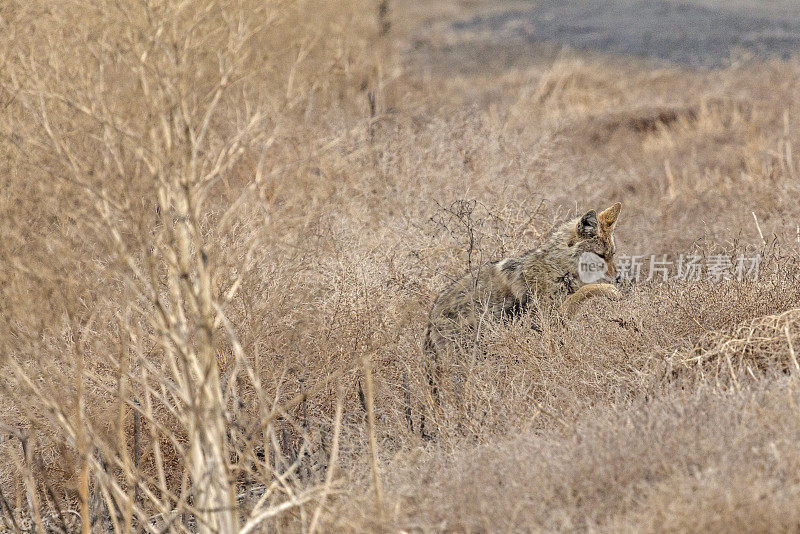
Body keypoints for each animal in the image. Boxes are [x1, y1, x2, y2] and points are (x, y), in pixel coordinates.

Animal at [428, 203, 620, 354]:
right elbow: (584, 291)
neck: (559, 267)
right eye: (600, 255)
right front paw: (611, 291)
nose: (618, 278)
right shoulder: (547, 318)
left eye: (612, 255)